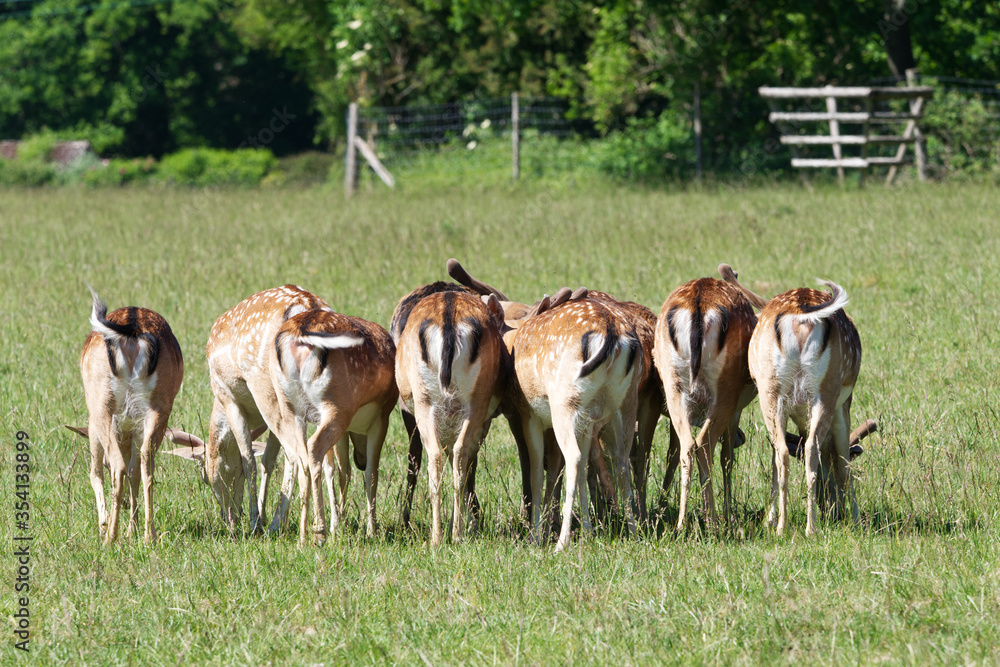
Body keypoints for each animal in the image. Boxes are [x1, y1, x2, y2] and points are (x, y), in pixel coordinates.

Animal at [76, 290, 184, 544]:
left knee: (118, 464)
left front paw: (104, 526)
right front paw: (131, 529)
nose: (124, 505)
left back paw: (110, 538)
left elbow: (95, 472)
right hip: (158, 409)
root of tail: (133, 331)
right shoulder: (135, 428)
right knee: (146, 464)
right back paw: (148, 535)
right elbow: (134, 472)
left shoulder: (94, 423)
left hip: (102, 407)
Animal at [394, 290, 508, 544]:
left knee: (440, 456)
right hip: (471, 402)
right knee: (455, 455)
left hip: (425, 400)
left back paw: (442, 535)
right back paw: (451, 534)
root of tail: (449, 316)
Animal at [652, 276, 752, 532]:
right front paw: (730, 515)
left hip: (673, 387)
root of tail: (698, 304)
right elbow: (727, 457)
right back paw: (714, 522)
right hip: (726, 392)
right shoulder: (736, 410)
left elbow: (672, 452)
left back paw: (681, 524)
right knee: (704, 444)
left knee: (687, 445)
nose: (743, 437)